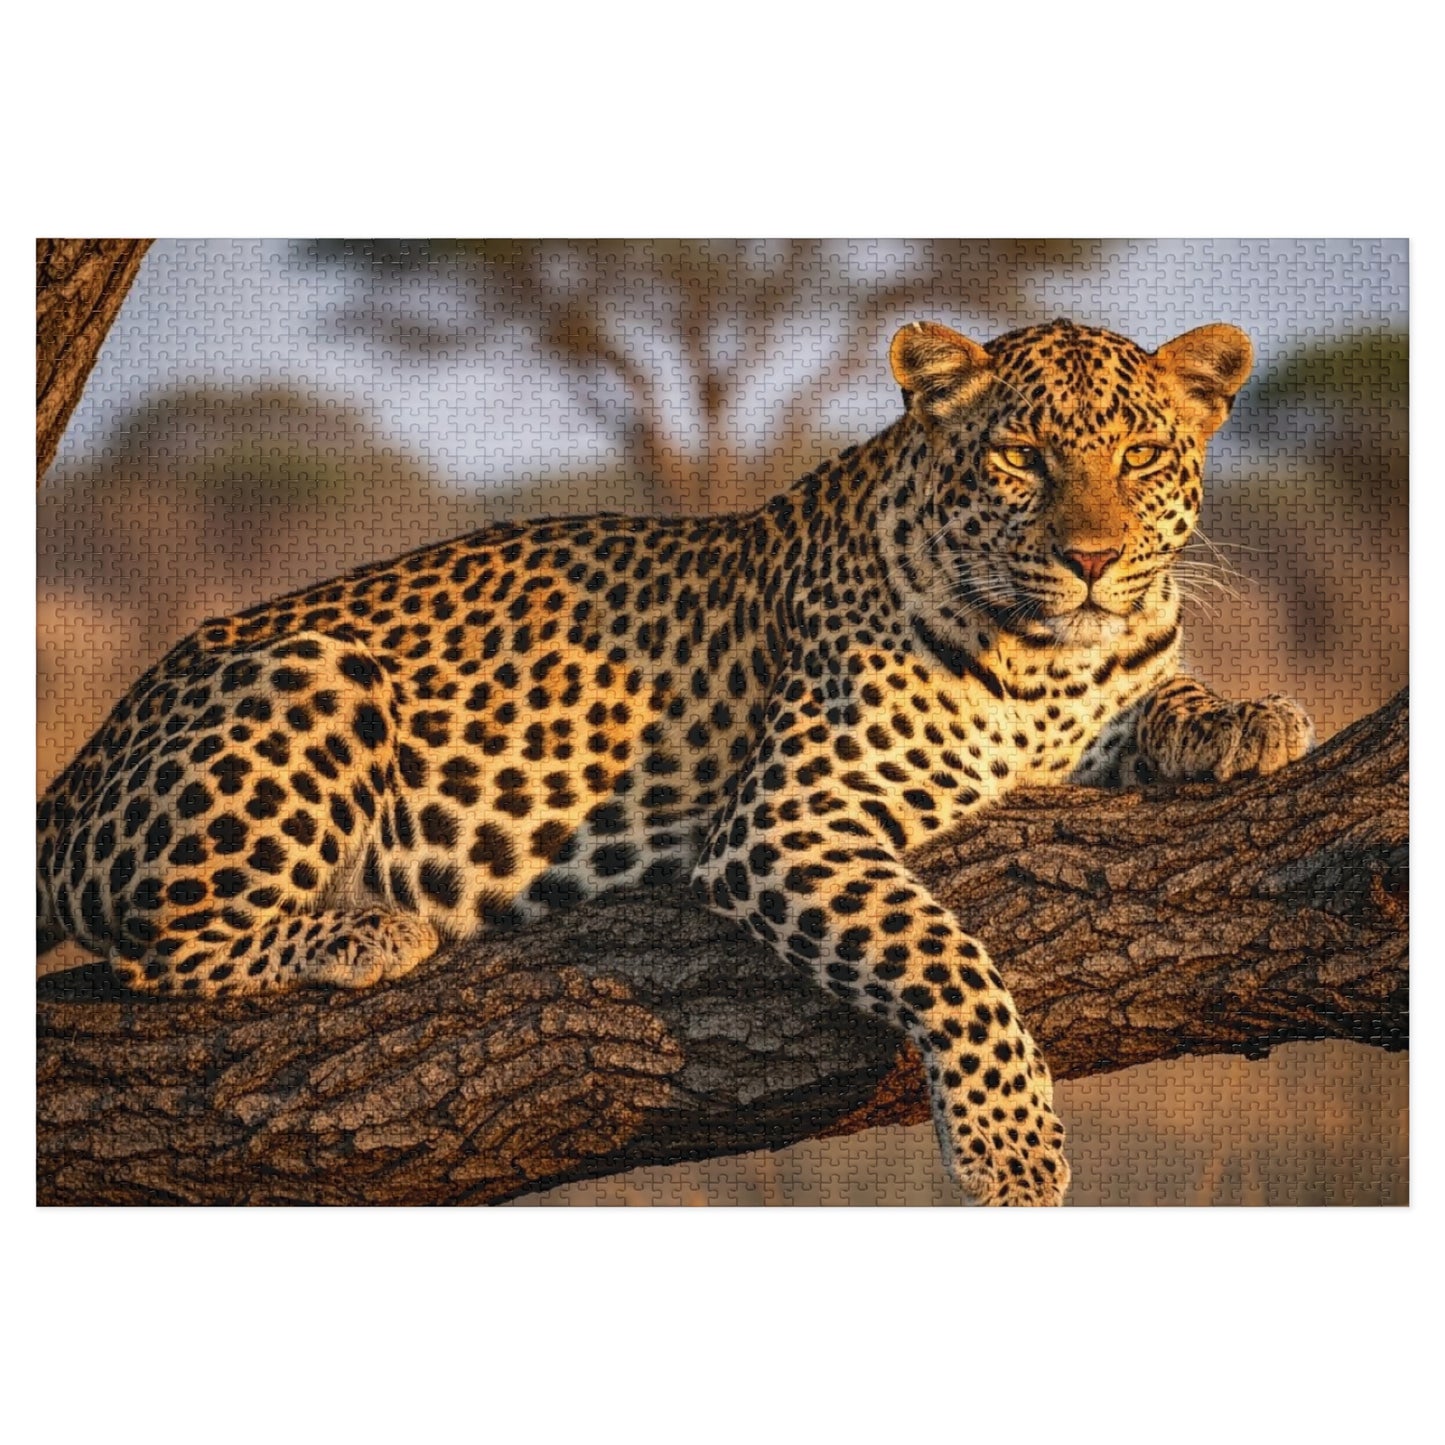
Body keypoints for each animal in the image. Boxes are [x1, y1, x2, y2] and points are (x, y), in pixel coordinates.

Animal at [36, 318, 1313, 1205]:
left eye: (1140, 454)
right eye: (1020, 455)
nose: (1091, 558)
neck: (1046, 660)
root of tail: (86, 758)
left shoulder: (1101, 696)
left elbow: (1163, 693)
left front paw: (1242, 718)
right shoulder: (787, 820)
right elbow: (947, 956)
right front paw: (1012, 1149)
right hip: (318, 668)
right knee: (155, 952)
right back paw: (363, 930)